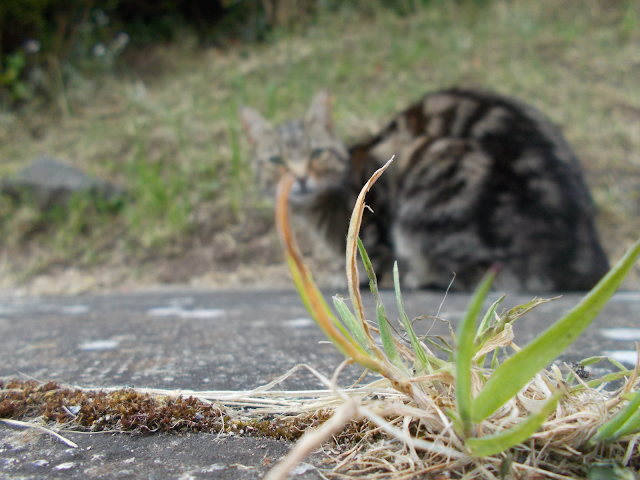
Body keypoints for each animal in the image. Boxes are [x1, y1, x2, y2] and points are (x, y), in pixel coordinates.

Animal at [240, 89, 608, 292]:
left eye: (316, 154)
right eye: (277, 161)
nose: (300, 178)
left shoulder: (374, 216)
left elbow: (368, 259)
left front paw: (351, 280)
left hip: (432, 170)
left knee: (483, 273)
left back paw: (423, 278)